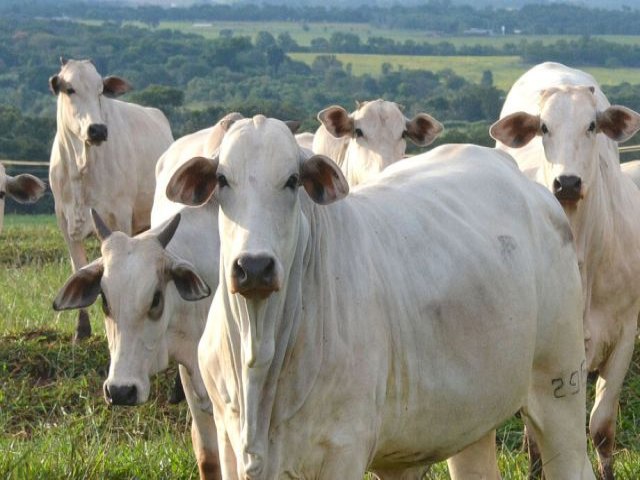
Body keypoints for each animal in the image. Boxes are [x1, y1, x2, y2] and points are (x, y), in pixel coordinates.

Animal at [48, 57, 172, 342]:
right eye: (69, 89)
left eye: (100, 91)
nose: (97, 129)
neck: (80, 167)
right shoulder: (65, 223)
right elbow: (78, 270)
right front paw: (81, 330)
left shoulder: (119, 217)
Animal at [165, 116, 596, 480]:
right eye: (222, 179)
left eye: (292, 180)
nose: (254, 266)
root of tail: (531, 187)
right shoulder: (228, 444)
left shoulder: (343, 449)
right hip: (473, 418)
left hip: (559, 385)